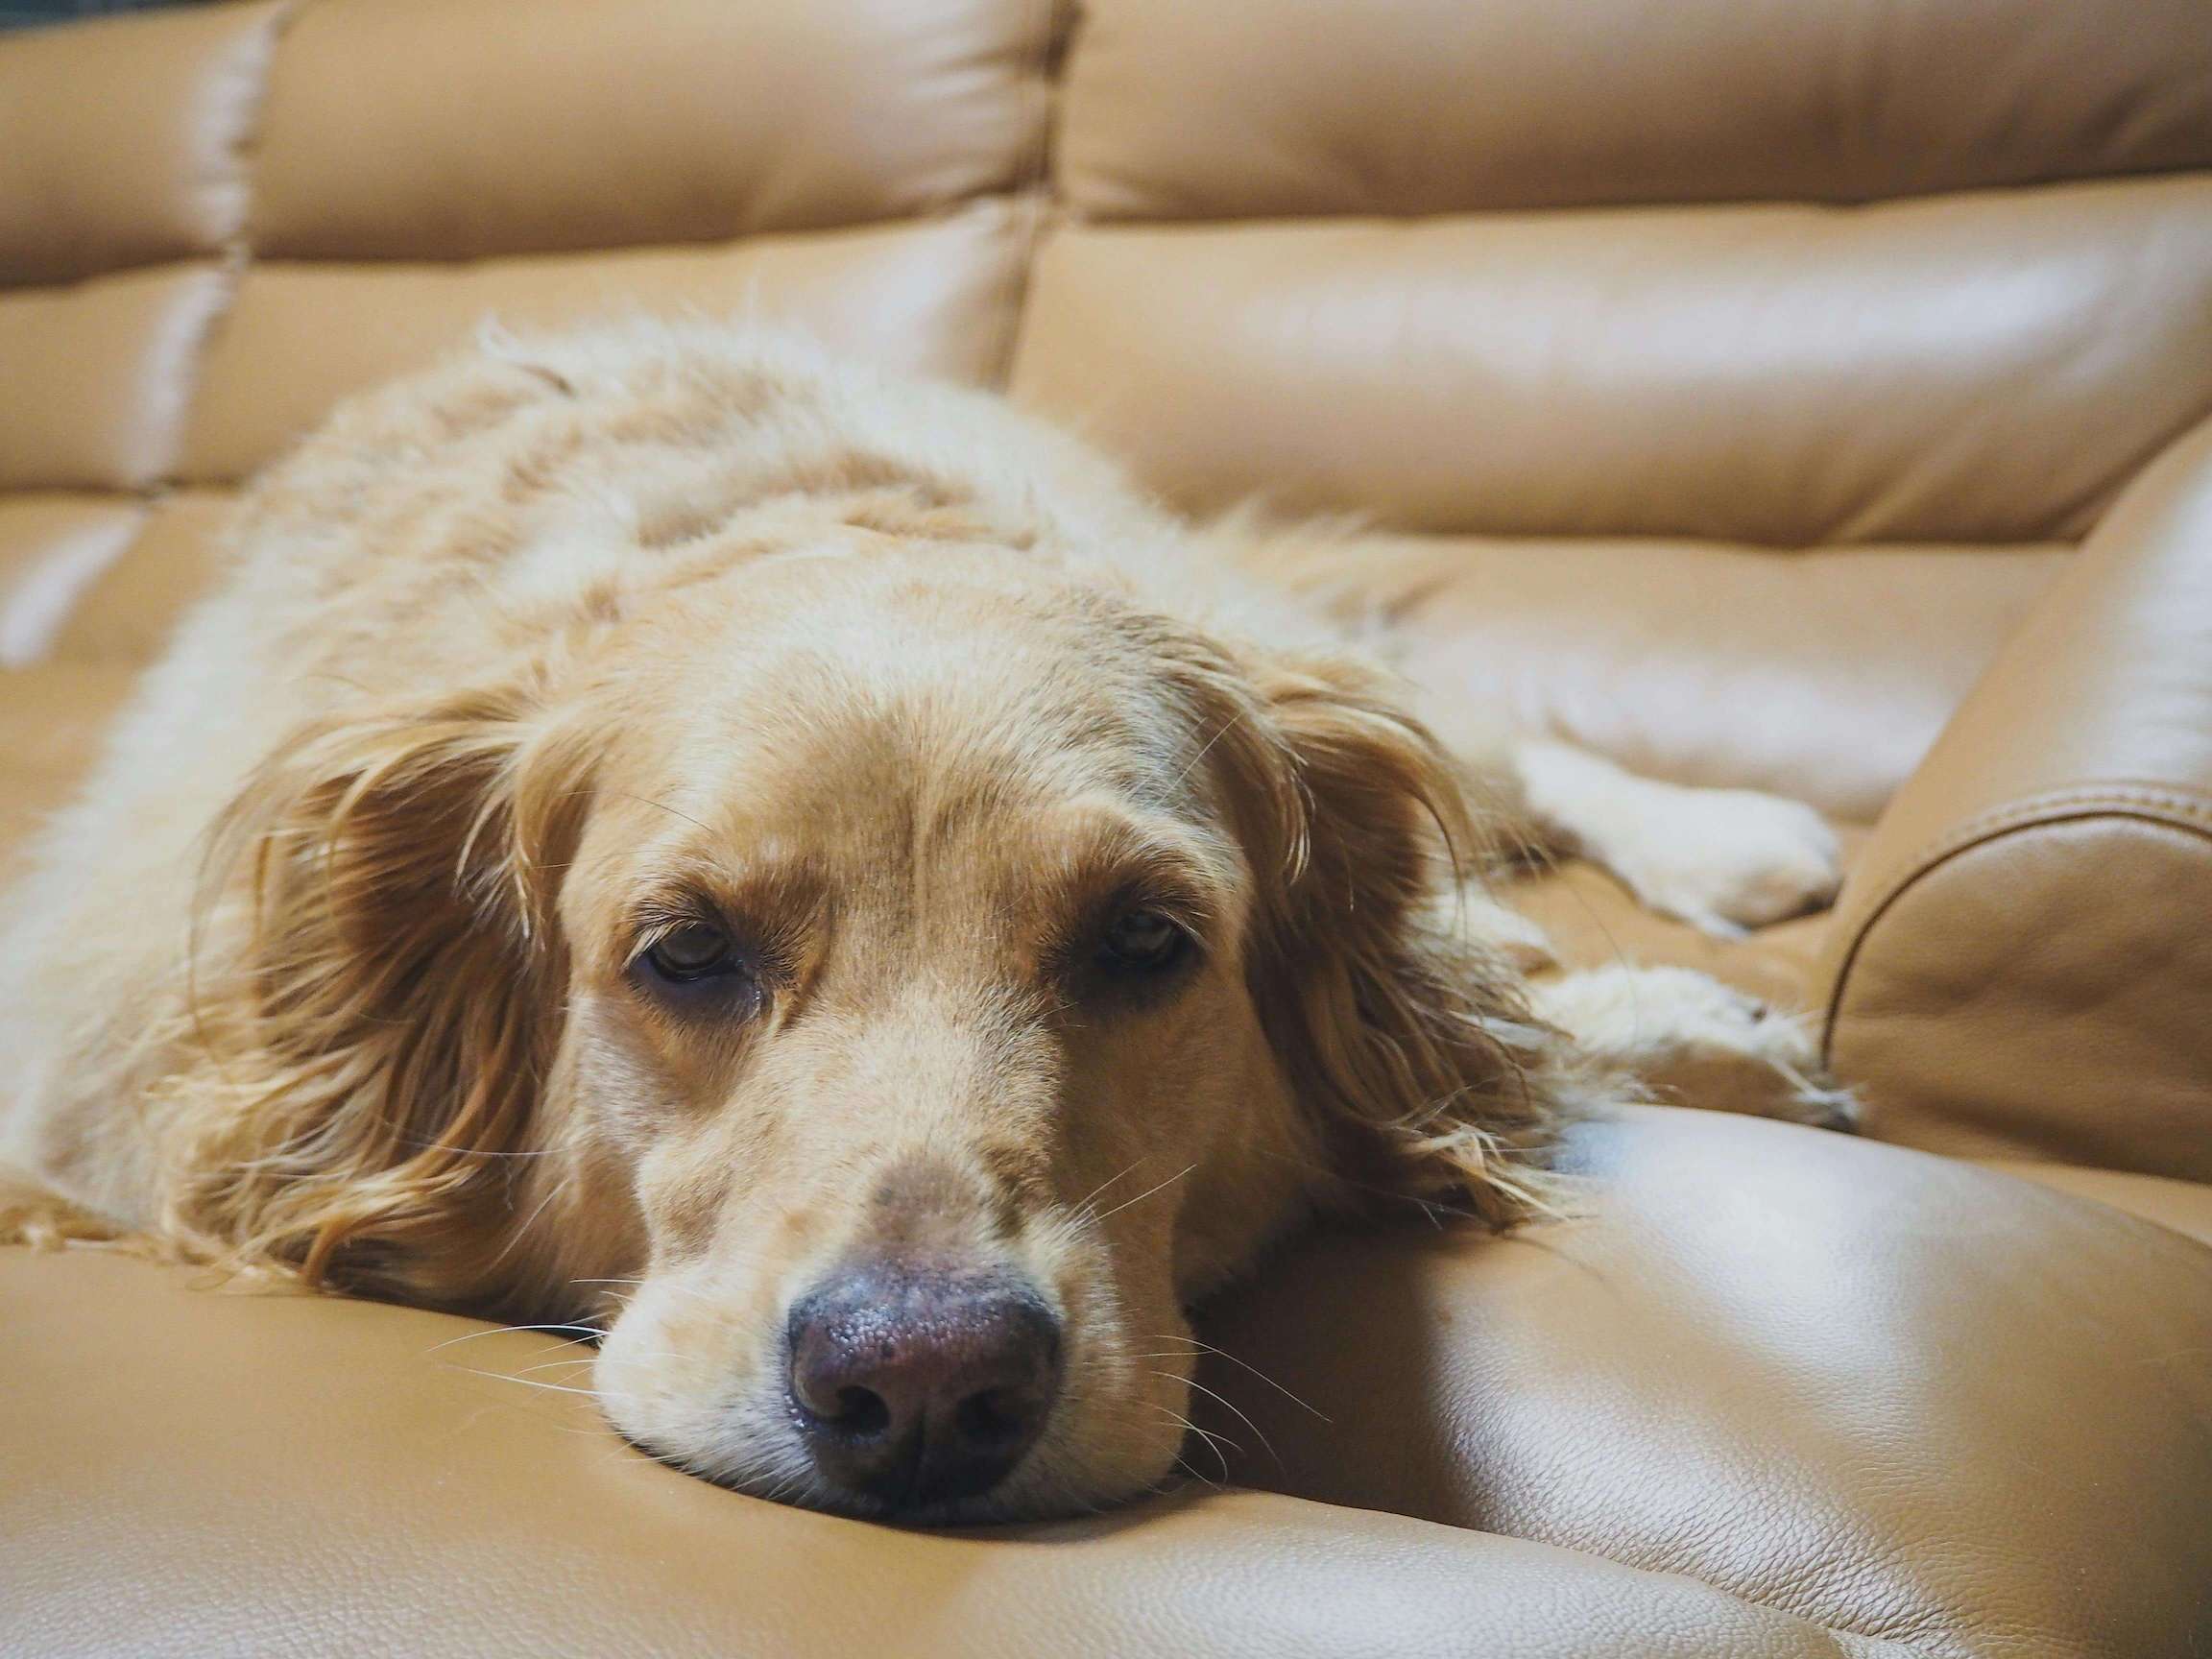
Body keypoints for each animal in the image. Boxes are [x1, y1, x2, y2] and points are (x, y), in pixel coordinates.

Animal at [4, 321, 1849, 1522]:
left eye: (1145, 942)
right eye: (684, 952)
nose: (926, 1389)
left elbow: (1490, 1009)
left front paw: (1691, 1024)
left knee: (1499, 761)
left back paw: (1732, 846)